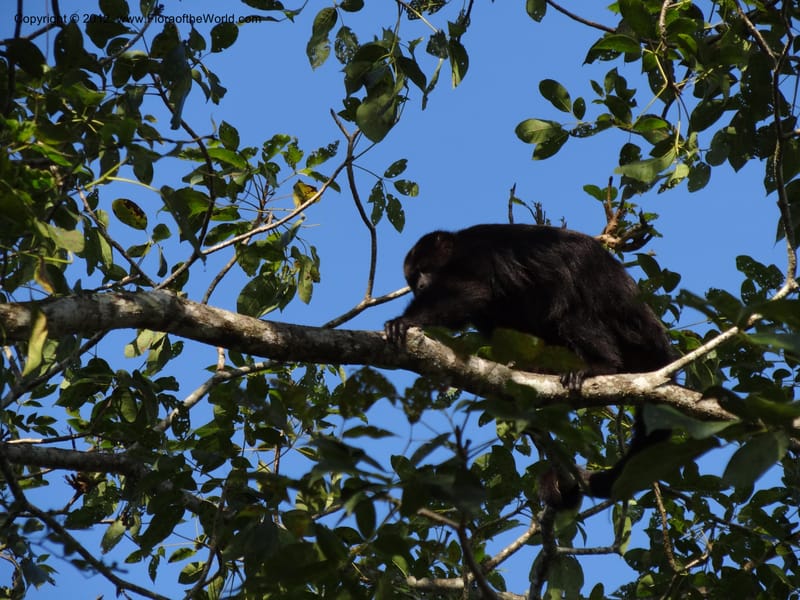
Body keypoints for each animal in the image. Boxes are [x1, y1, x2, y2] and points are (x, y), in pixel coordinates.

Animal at [384, 224, 675, 507]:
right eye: (413, 279)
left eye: (424, 270)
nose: (420, 286)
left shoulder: (474, 256)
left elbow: (468, 291)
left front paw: (405, 320)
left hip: (622, 318)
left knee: (572, 309)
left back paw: (599, 364)